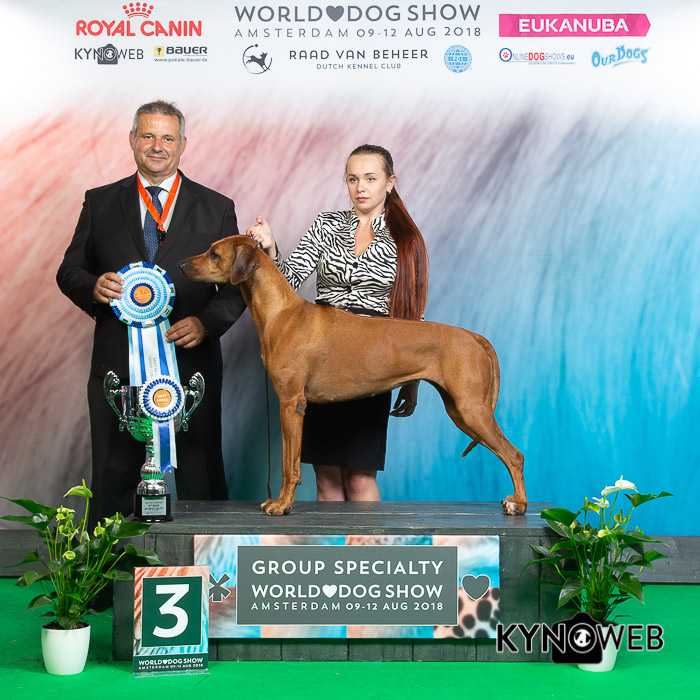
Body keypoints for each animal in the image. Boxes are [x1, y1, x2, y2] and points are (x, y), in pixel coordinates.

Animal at [179, 235, 526, 516]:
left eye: (214, 253)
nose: (181, 264)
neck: (281, 311)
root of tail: (473, 336)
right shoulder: (287, 405)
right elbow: (287, 458)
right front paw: (279, 501)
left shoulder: (291, 404)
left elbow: (290, 464)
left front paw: (283, 505)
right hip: (459, 409)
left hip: (472, 408)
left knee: (515, 455)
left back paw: (519, 504)